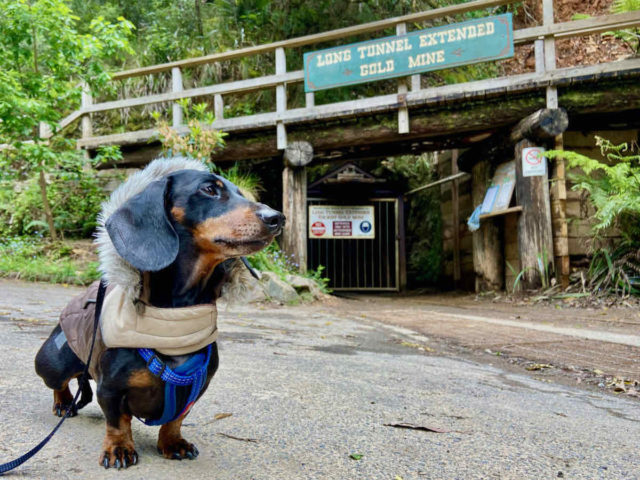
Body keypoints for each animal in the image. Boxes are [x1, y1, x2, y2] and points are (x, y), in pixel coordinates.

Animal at [34, 158, 282, 468]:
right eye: (209, 189)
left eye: (241, 191)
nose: (277, 218)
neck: (174, 320)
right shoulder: (110, 388)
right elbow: (117, 421)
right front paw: (118, 448)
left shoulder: (196, 388)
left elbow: (175, 420)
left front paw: (173, 443)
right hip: (52, 362)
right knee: (59, 382)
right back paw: (63, 403)